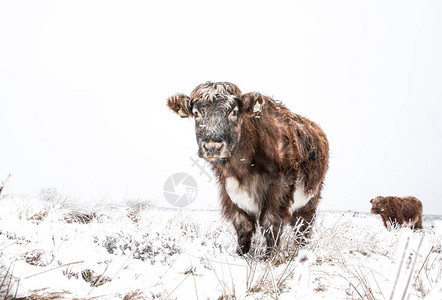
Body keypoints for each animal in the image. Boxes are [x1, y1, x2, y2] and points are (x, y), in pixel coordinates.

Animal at [166, 82, 328, 255]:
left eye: (234, 112)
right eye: (196, 113)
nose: (212, 147)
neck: (244, 169)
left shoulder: (281, 186)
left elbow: (270, 222)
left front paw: (269, 256)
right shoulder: (229, 190)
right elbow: (243, 225)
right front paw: (241, 254)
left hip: (310, 199)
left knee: (303, 227)